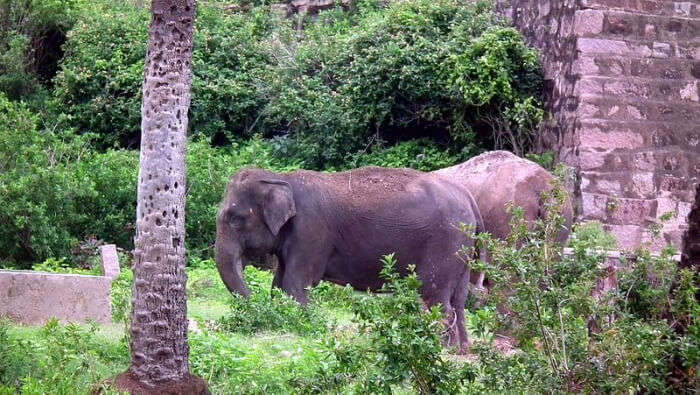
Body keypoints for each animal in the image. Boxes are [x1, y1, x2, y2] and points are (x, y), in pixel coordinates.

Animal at [215, 166, 486, 352]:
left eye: (235, 218)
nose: (255, 305)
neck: (281, 178)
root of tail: (468, 198)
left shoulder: (311, 231)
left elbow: (295, 284)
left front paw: (305, 327)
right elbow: (279, 283)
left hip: (445, 242)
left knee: (436, 297)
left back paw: (442, 349)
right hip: (462, 246)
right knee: (459, 299)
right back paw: (462, 350)